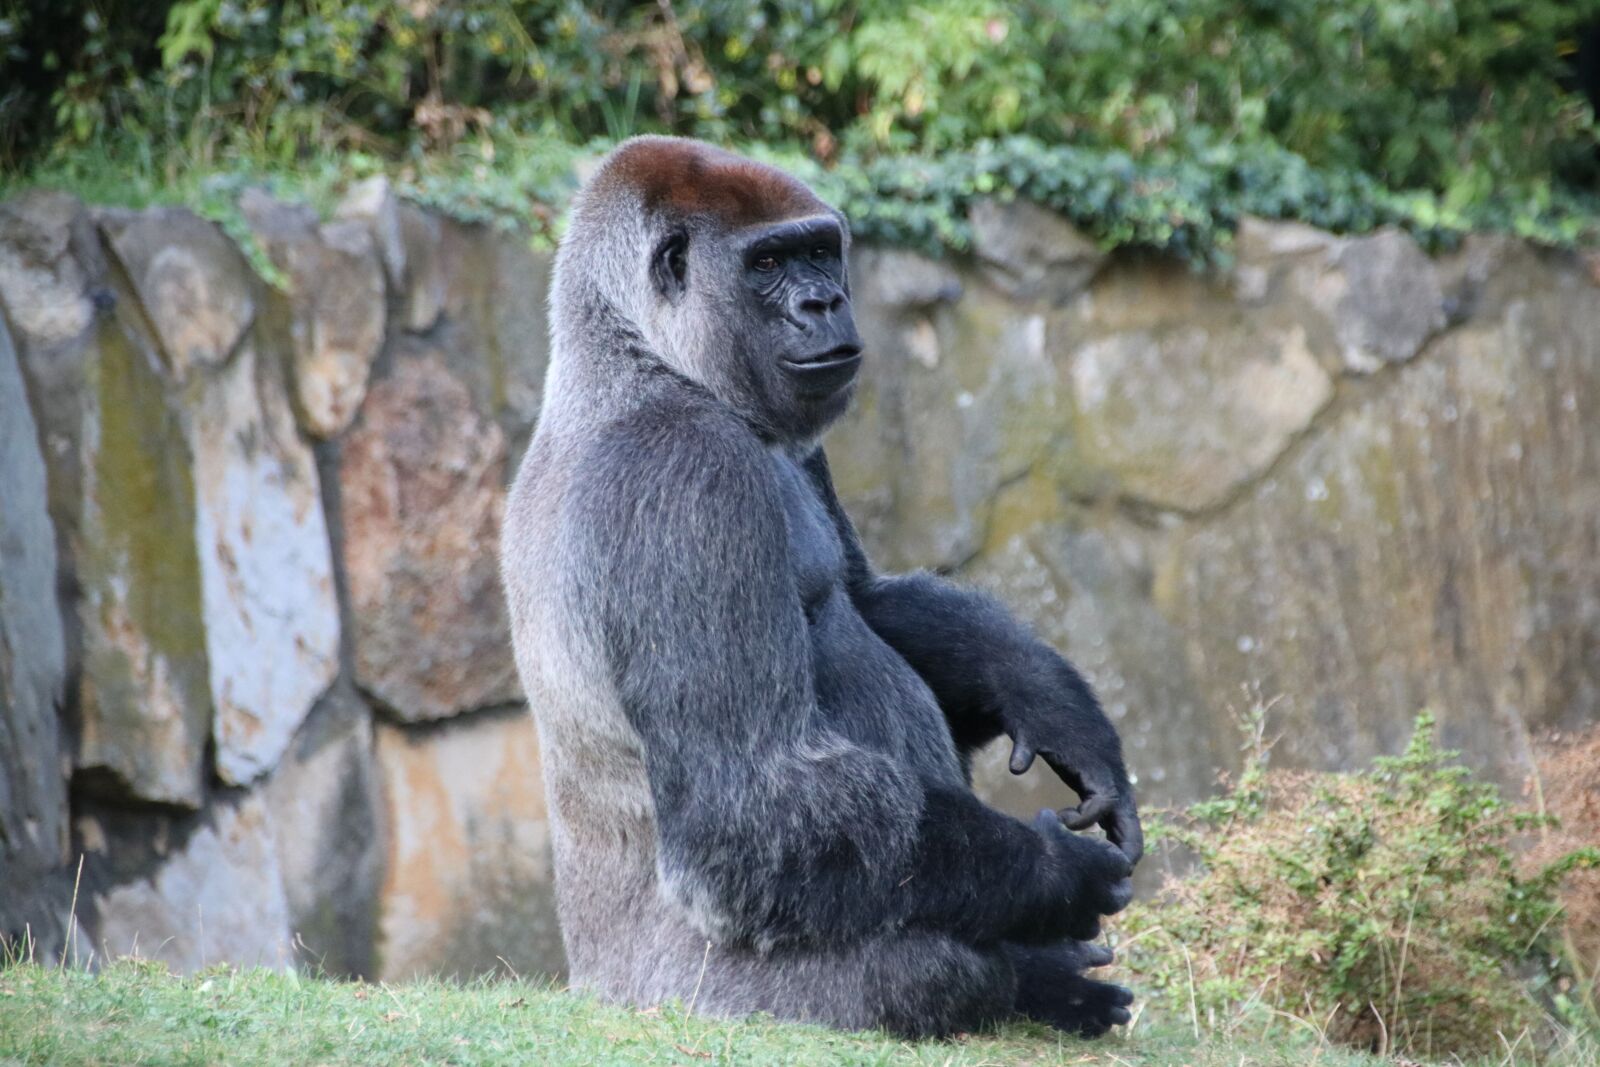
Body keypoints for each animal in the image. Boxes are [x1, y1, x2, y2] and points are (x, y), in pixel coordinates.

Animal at [500, 136, 1142, 1039]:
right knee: (933, 967)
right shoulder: (685, 476)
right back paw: (1032, 975)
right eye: (768, 263)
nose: (826, 301)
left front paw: (1046, 695)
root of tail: (594, 984)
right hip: (697, 997)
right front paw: (1058, 869)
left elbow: (871, 599)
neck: (639, 359)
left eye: (818, 252)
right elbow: (753, 802)